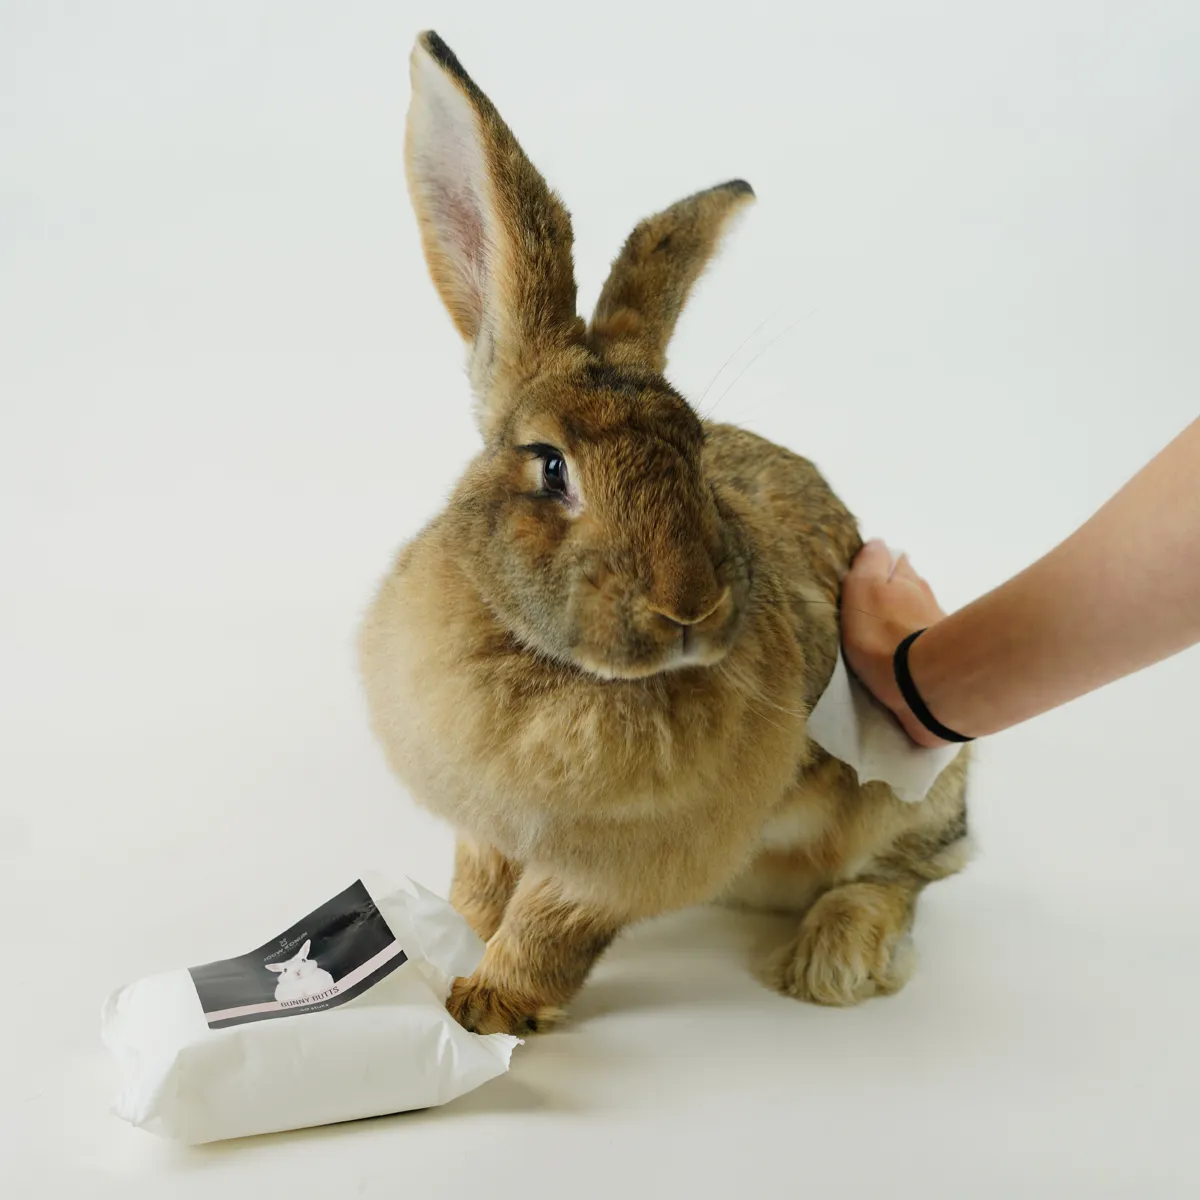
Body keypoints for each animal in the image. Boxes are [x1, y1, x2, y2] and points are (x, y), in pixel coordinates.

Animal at [359, 31, 970, 1036]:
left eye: (695, 452)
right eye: (551, 467)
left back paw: (829, 959)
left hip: (901, 796)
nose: (690, 606)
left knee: (906, 873)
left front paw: (487, 1003)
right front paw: (452, 939)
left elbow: (550, 927)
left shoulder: (618, 864)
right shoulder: (485, 825)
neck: (563, 672)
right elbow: (483, 887)